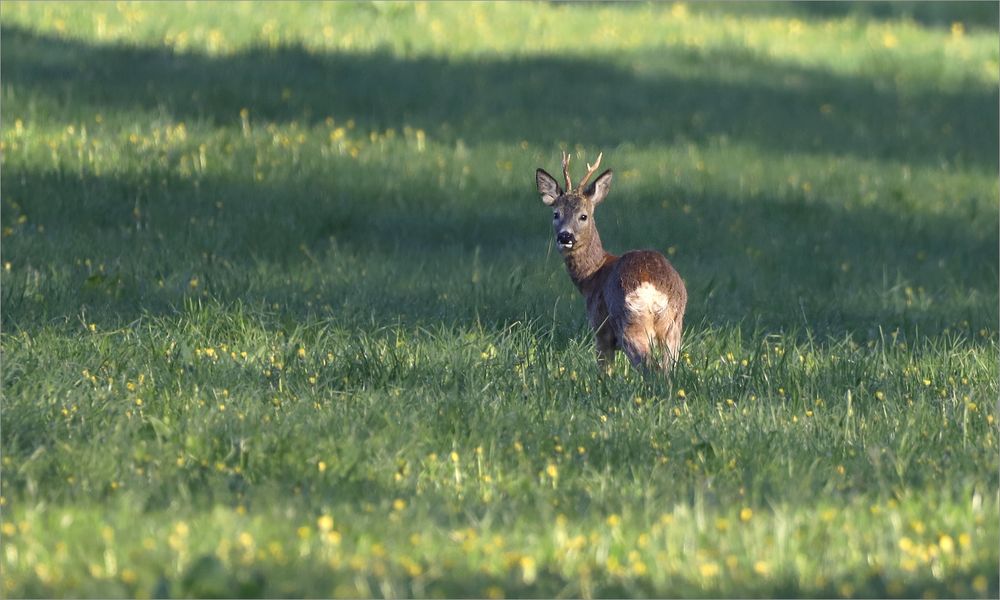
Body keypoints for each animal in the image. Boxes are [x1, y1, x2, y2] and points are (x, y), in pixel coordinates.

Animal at [536, 152, 684, 372]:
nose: (565, 236)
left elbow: (605, 371)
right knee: (668, 369)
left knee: (650, 367)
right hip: (673, 325)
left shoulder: (600, 329)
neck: (593, 275)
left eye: (583, 216)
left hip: (628, 320)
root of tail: (651, 287)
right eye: (556, 214)